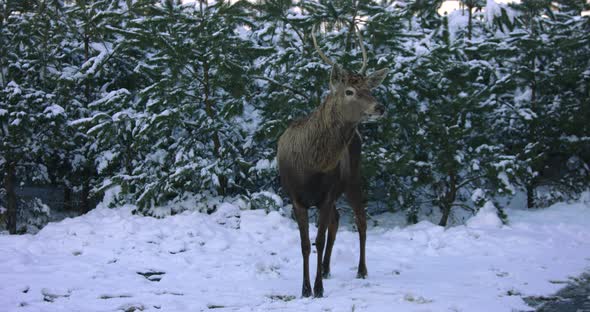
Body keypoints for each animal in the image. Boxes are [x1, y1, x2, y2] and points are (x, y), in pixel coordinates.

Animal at [276, 25, 388, 298]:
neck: (311, 165)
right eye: (349, 91)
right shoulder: (296, 198)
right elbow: (306, 244)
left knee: (360, 220)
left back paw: (361, 270)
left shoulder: (325, 195)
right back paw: (326, 268)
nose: (379, 107)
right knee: (337, 221)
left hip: (353, 178)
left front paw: (317, 289)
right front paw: (305, 288)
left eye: (370, 88)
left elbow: (319, 239)